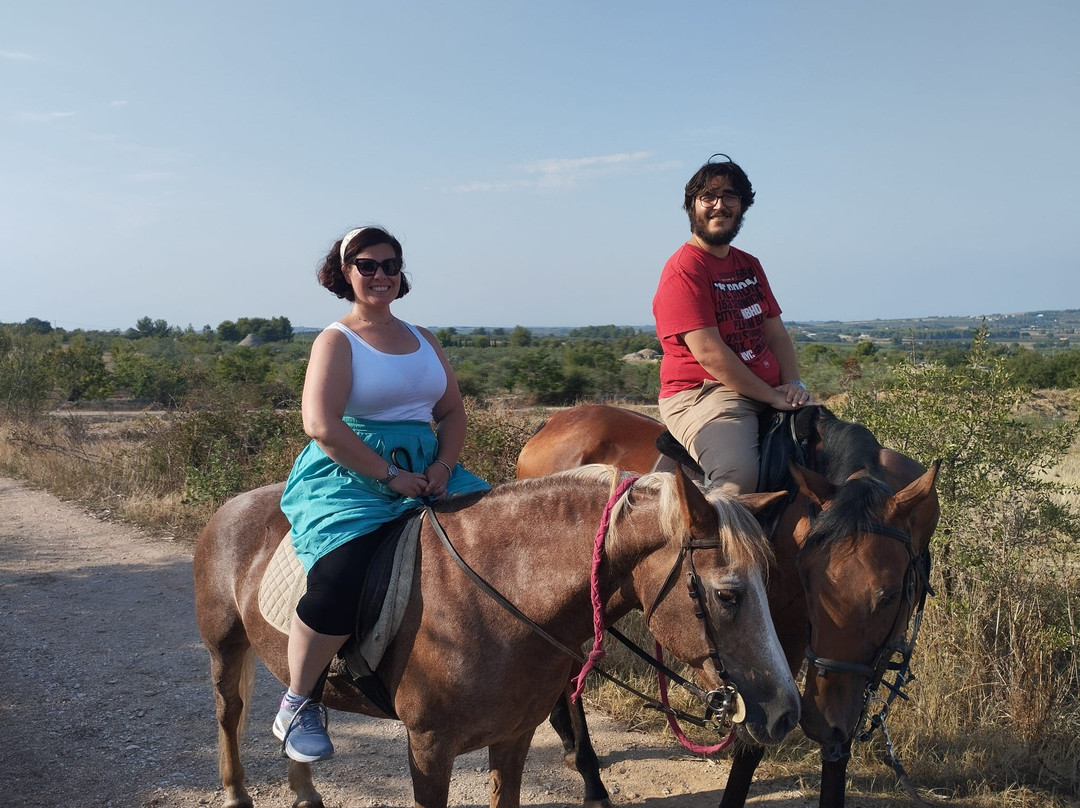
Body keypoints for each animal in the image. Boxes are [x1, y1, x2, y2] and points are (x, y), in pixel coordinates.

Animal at [194, 460, 803, 808]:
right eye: (728, 594)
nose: (786, 712)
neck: (500, 600)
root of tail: (232, 505)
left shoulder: (513, 738)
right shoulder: (429, 749)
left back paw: (303, 790)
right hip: (224, 648)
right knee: (229, 713)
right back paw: (236, 794)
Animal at [514, 404, 937, 808]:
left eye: (889, 596)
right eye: (808, 581)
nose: (820, 722)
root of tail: (552, 424)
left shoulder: (855, 663)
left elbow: (837, 745)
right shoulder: (778, 642)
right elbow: (755, 737)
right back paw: (589, 772)